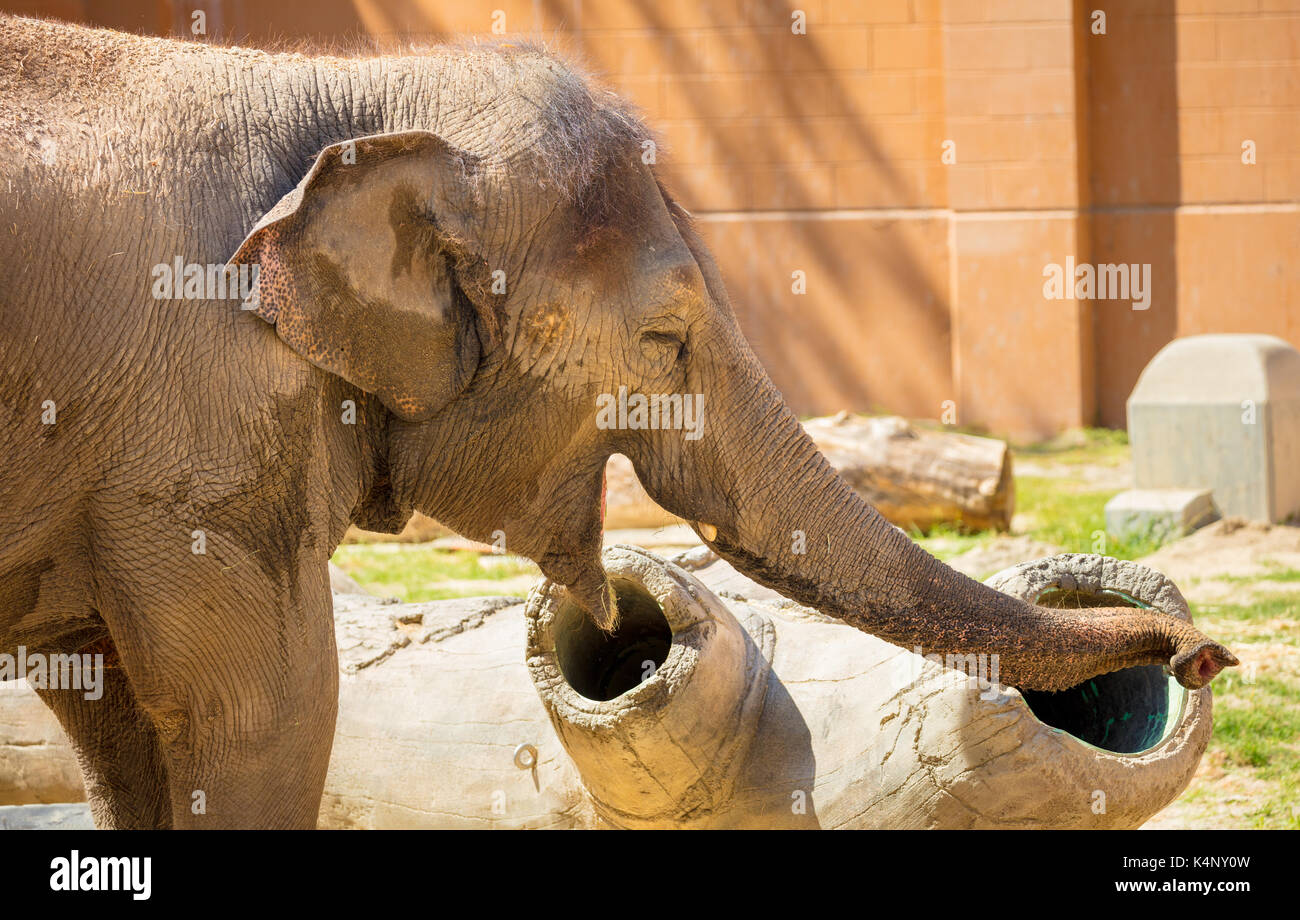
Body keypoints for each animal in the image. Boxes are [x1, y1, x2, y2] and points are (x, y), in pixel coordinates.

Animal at [0, 14, 1237, 831]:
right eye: (664, 338)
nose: (1200, 646)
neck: (342, 92)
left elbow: (116, 720)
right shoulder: (203, 420)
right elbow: (268, 710)